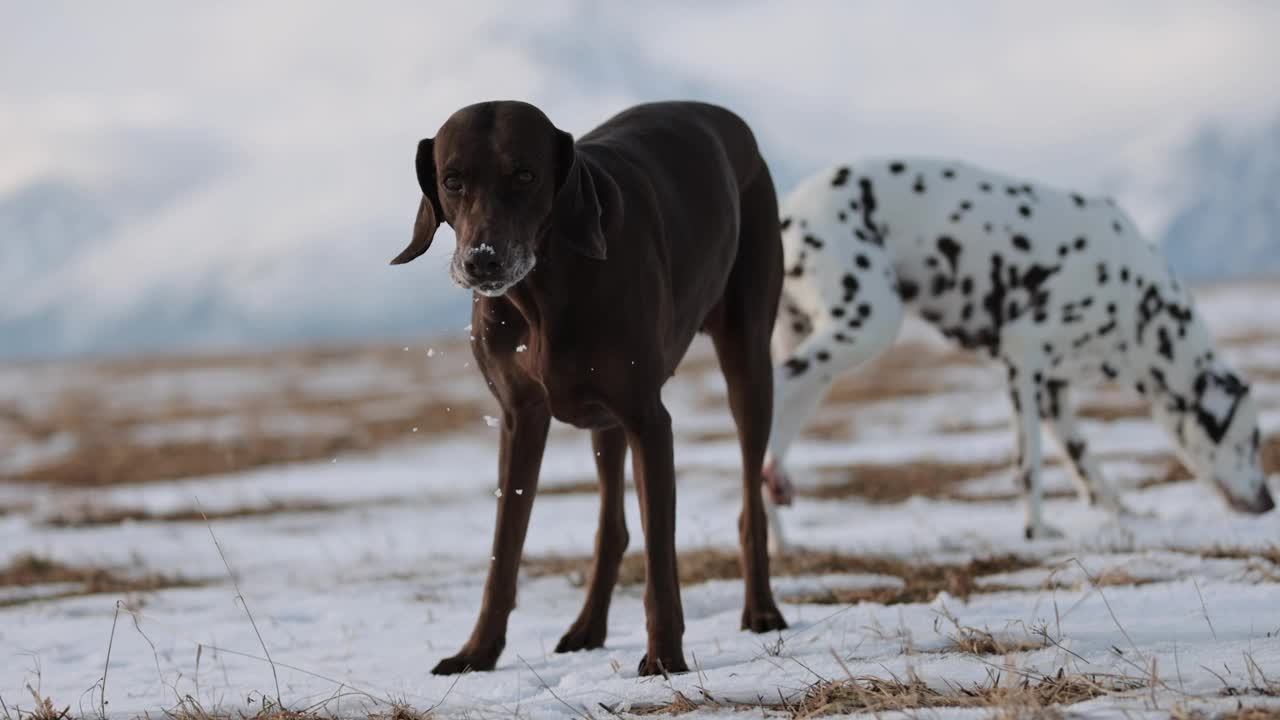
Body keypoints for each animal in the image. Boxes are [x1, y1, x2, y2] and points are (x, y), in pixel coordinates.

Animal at [394, 99, 783, 671]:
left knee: (750, 500)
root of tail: (731, 120)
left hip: (748, 362)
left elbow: (661, 557)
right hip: (605, 420)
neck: (543, 289)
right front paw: (477, 651)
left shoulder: (648, 418)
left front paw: (664, 658)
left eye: (526, 174)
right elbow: (504, 549)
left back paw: (761, 610)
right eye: (452, 180)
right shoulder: (520, 419)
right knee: (612, 528)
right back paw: (588, 628)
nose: (482, 260)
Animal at [762, 156, 1274, 538]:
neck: (1138, 298)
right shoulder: (1024, 360)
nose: (1269, 501)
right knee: (777, 391)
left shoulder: (1054, 392)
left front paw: (1123, 512)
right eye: (1249, 440)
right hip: (866, 326)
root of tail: (788, 209)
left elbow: (1085, 463)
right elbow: (1029, 466)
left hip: (821, 358)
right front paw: (1038, 532)